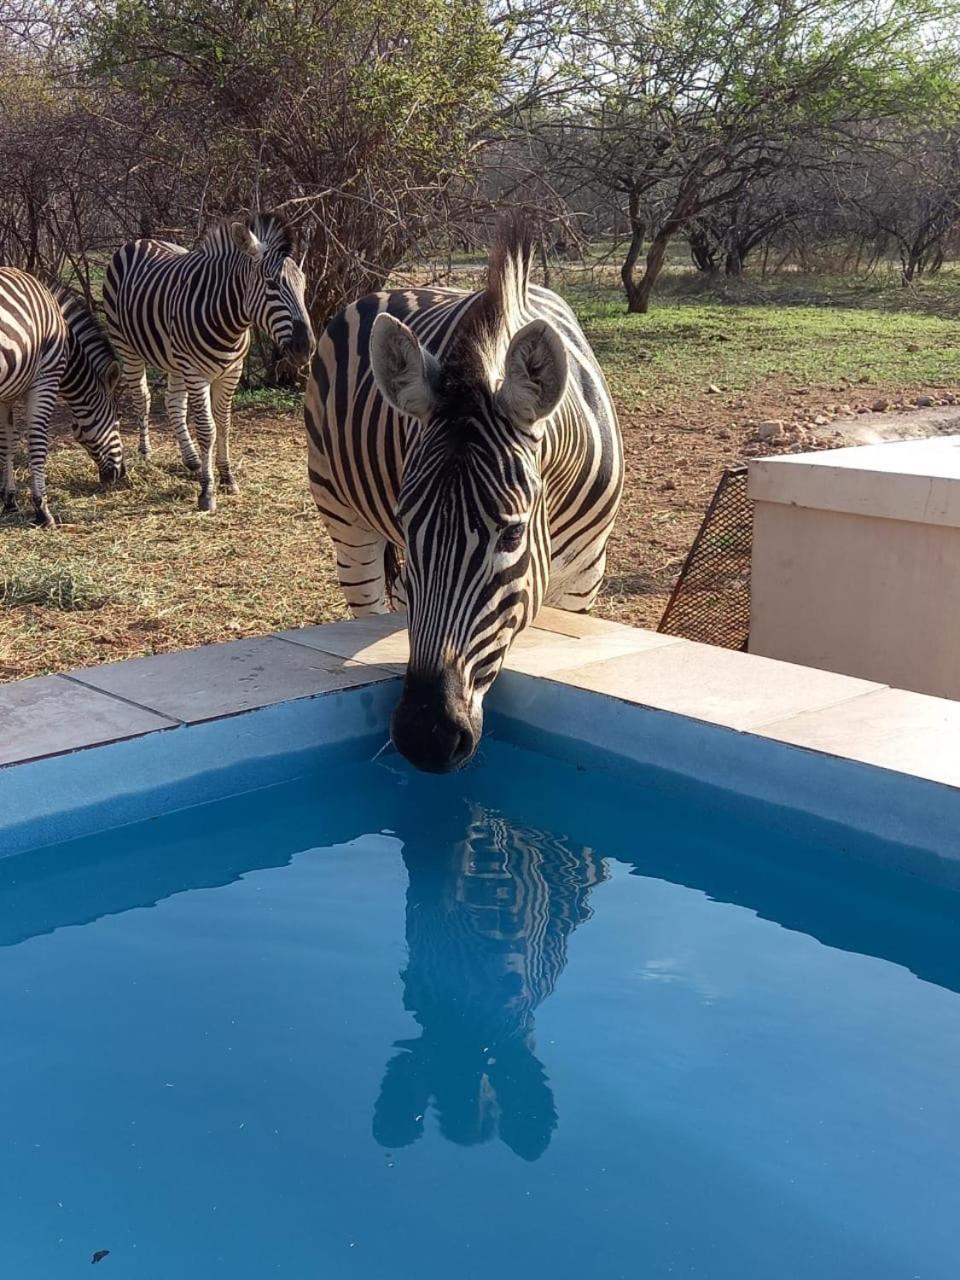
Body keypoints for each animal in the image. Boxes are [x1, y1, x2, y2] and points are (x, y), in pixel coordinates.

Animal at [0, 267, 124, 527]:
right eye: (118, 416)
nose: (121, 474)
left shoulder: (6, 395)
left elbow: (8, 443)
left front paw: (10, 500)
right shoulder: (45, 379)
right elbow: (37, 441)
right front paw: (42, 509)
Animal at [104, 212, 316, 512]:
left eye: (303, 285)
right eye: (271, 284)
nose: (305, 348)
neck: (230, 322)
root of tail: (139, 241)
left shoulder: (232, 372)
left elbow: (224, 423)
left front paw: (227, 477)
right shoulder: (196, 373)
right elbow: (208, 429)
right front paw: (207, 491)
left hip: (174, 359)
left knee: (173, 403)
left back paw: (192, 459)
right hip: (127, 347)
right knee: (142, 398)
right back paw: (146, 454)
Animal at [304, 213, 627, 768]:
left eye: (512, 535)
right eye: (407, 524)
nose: (424, 737)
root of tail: (382, 290)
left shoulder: (585, 579)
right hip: (344, 521)